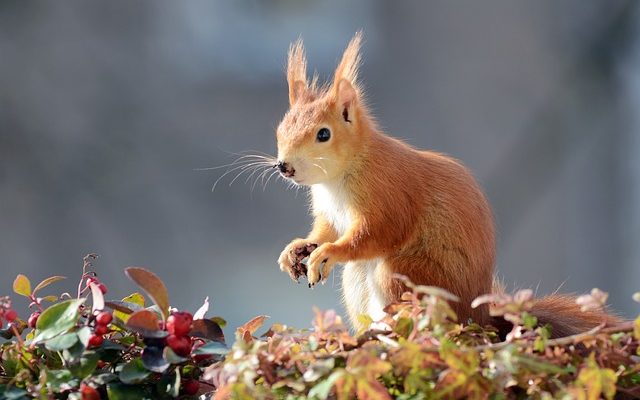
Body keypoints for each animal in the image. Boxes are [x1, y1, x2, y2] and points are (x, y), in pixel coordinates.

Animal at [274, 32, 620, 336]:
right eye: (281, 128)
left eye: (323, 134)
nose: (284, 166)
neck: (338, 177)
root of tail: (479, 318)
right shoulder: (329, 211)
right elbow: (326, 230)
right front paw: (297, 249)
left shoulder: (387, 191)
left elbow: (378, 232)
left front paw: (328, 252)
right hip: (358, 279)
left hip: (410, 277)